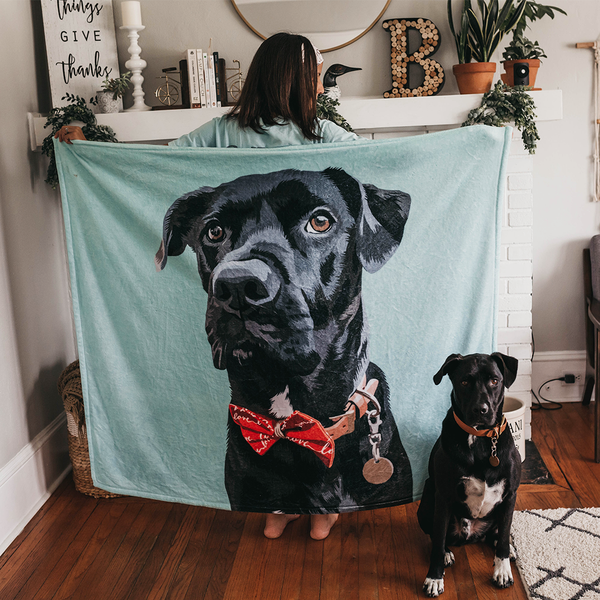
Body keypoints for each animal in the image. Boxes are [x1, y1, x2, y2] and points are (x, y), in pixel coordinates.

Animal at [418, 352, 520, 596]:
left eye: (494, 381)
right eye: (464, 382)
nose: (481, 410)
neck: (481, 439)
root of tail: (471, 534)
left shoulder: (510, 495)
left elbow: (504, 536)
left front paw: (502, 571)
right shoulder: (443, 497)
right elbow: (437, 541)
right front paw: (434, 578)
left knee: (498, 532)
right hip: (427, 497)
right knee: (437, 535)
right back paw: (447, 552)